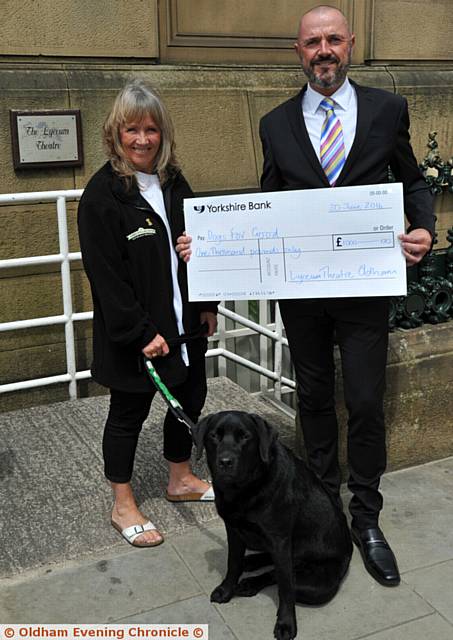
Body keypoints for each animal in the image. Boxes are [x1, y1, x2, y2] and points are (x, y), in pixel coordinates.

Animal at [192, 410, 352, 640]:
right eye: (214, 436)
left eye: (245, 436)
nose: (225, 461)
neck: (246, 488)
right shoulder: (234, 530)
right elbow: (233, 564)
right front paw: (226, 590)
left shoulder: (279, 539)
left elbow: (285, 588)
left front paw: (286, 623)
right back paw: (250, 565)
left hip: (318, 584)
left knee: (281, 575)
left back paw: (250, 583)